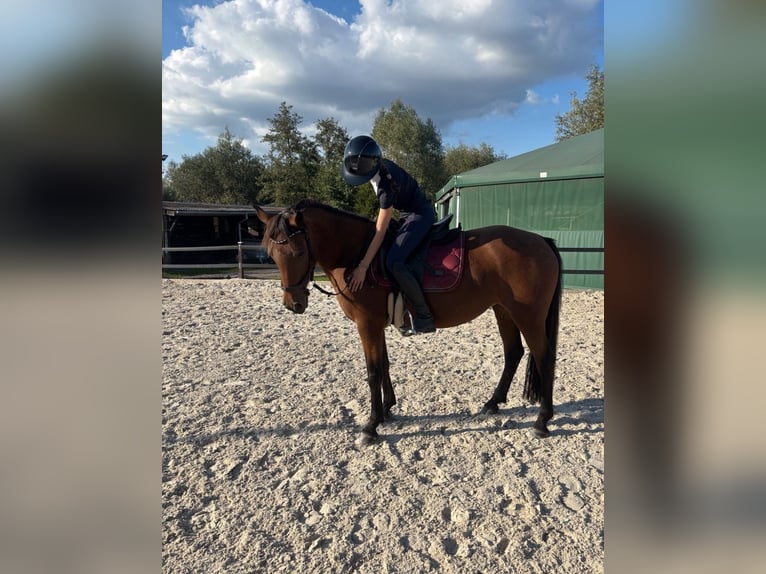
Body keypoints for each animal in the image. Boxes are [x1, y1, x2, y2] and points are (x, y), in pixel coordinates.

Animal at [253, 199, 562, 444]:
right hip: (504, 311)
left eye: (298, 252)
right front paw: (387, 409)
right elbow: (384, 365)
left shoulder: (367, 324)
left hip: (528, 316)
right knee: (513, 353)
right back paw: (493, 403)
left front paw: (371, 426)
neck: (359, 255)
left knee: (544, 357)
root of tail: (541, 241)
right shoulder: (376, 325)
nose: (293, 304)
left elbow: (373, 371)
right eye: (271, 254)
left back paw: (542, 421)